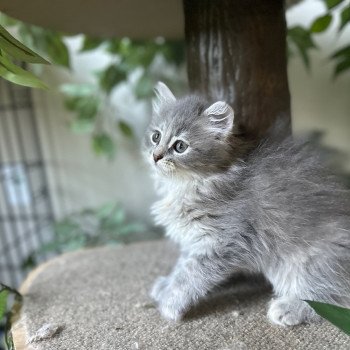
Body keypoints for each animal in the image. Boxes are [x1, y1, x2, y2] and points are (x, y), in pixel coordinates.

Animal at [143, 81, 350, 326]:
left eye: (180, 146)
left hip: (309, 262)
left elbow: (190, 276)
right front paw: (165, 286)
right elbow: (181, 267)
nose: (156, 156)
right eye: (156, 136)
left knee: (334, 299)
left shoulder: (224, 241)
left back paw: (289, 307)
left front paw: (170, 304)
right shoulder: (195, 240)